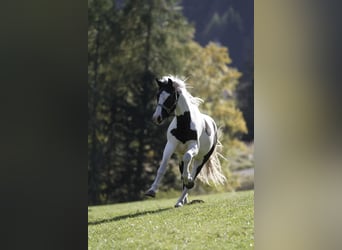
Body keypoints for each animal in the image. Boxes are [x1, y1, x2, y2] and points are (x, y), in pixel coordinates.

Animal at [144, 75, 227, 208]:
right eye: (158, 95)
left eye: (170, 97)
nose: (157, 118)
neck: (184, 123)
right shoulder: (170, 146)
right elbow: (162, 167)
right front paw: (151, 191)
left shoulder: (193, 147)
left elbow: (188, 163)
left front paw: (188, 180)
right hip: (180, 158)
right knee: (183, 174)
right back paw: (183, 200)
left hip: (201, 159)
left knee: (192, 177)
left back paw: (180, 200)